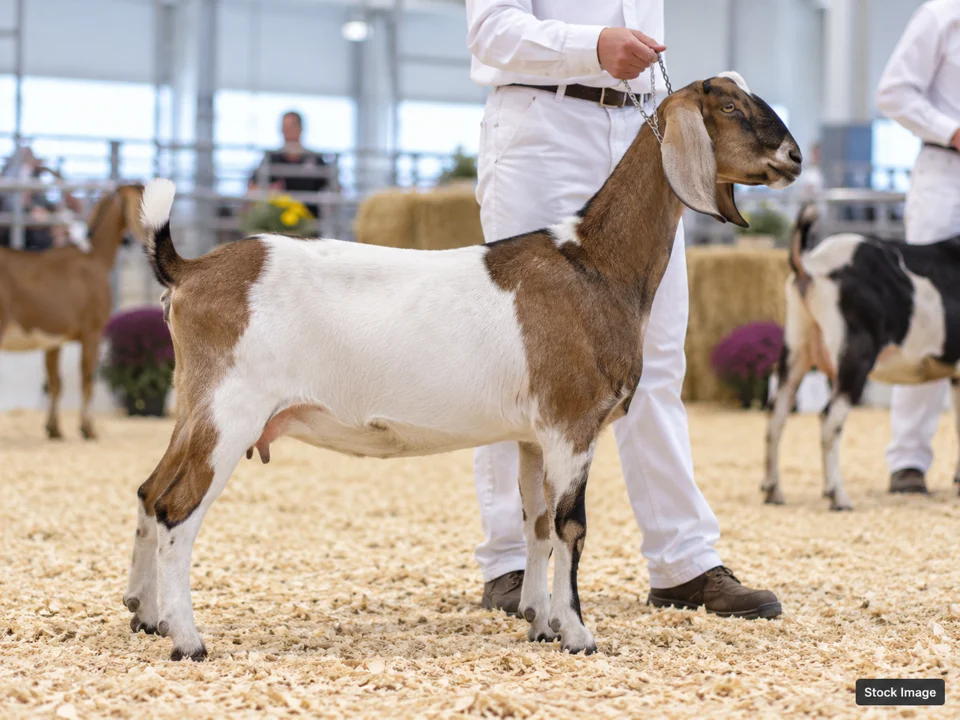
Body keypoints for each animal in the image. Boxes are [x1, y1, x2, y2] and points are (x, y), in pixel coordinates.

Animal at [0, 185, 144, 439]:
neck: (94, 257)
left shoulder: (53, 340)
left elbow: (55, 383)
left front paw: (54, 429)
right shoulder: (92, 332)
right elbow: (87, 379)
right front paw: (88, 429)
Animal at [123, 73, 801, 661]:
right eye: (732, 107)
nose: (793, 157)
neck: (594, 263)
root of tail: (189, 269)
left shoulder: (534, 435)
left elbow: (536, 524)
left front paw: (540, 624)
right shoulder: (572, 423)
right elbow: (571, 526)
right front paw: (578, 633)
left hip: (196, 405)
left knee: (149, 491)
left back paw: (145, 615)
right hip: (231, 409)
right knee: (177, 508)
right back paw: (188, 639)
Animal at [765, 204, 960, 510]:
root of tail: (811, 264)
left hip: (796, 343)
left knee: (777, 413)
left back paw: (774, 492)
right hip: (855, 353)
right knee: (829, 418)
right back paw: (839, 497)